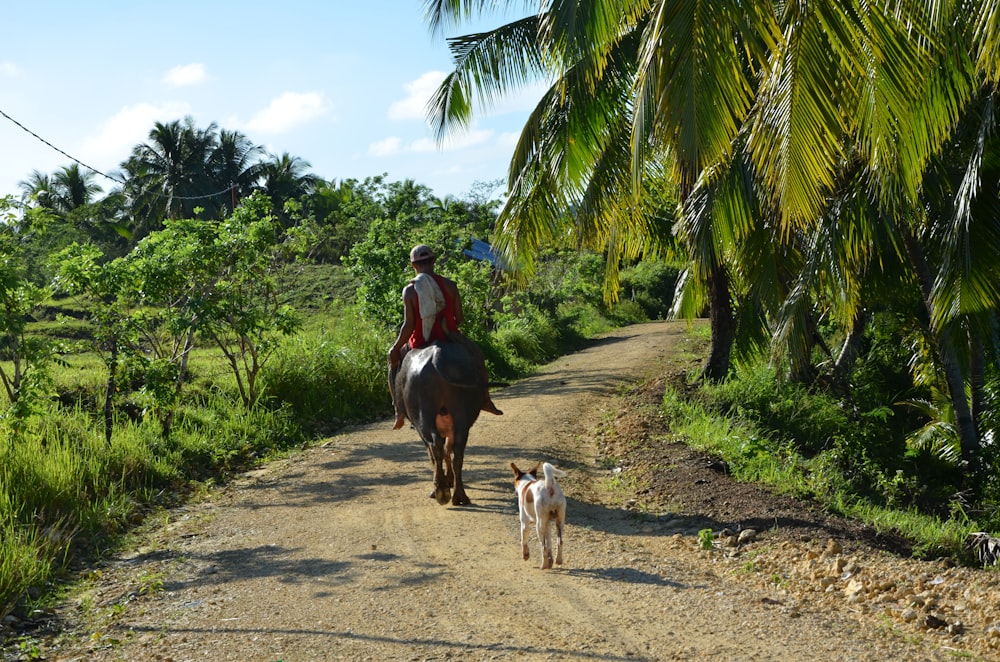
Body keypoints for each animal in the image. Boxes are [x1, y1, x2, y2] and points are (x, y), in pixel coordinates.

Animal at [394, 342, 484, 508]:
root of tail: (437, 355)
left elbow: (435, 454)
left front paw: (443, 482)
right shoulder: (449, 429)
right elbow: (447, 451)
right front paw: (449, 479)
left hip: (423, 417)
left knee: (435, 446)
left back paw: (441, 491)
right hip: (462, 415)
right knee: (457, 451)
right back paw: (459, 495)